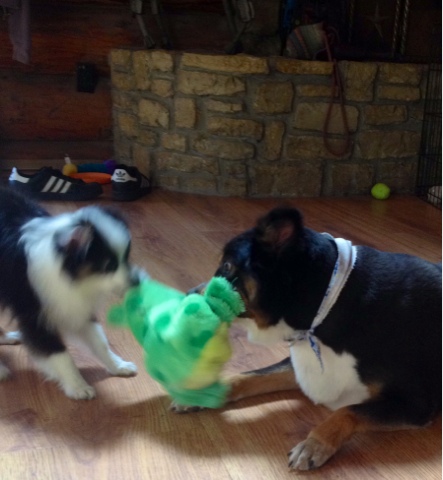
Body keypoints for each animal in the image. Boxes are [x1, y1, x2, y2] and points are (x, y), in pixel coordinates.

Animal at [0, 186, 145, 400]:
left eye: (126, 257)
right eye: (109, 266)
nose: (138, 281)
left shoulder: (76, 308)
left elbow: (100, 342)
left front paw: (118, 366)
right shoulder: (36, 317)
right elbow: (61, 355)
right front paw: (77, 386)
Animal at [174, 206, 442, 471]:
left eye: (227, 266)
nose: (187, 294)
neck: (332, 299)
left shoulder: (414, 404)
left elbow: (348, 411)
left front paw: (314, 445)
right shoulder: (298, 365)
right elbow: (248, 376)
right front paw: (203, 391)